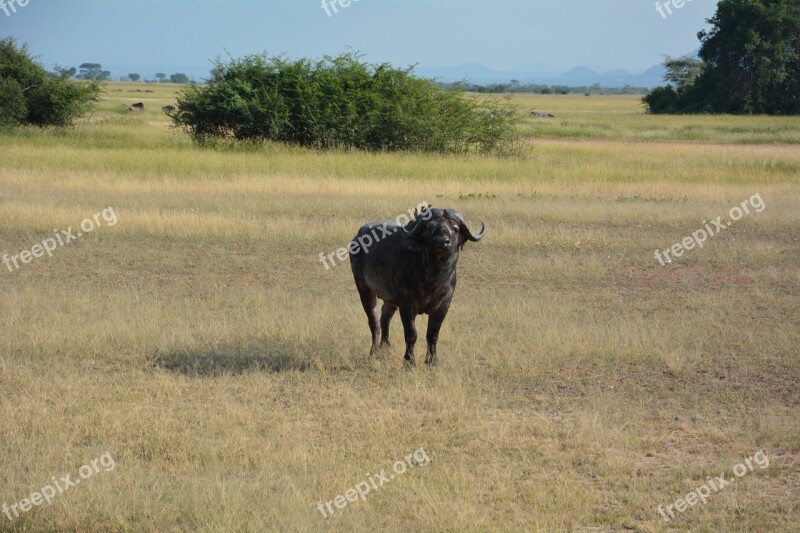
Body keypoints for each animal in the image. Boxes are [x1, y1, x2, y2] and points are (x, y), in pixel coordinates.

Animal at [352, 206, 488, 364]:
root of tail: (356, 238)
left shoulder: (444, 305)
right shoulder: (407, 305)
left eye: (455, 228)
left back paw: (385, 347)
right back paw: (375, 351)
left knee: (385, 316)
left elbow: (432, 334)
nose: (441, 241)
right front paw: (409, 361)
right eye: (429, 228)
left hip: (390, 298)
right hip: (364, 288)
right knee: (374, 322)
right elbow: (411, 334)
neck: (433, 278)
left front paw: (432, 361)